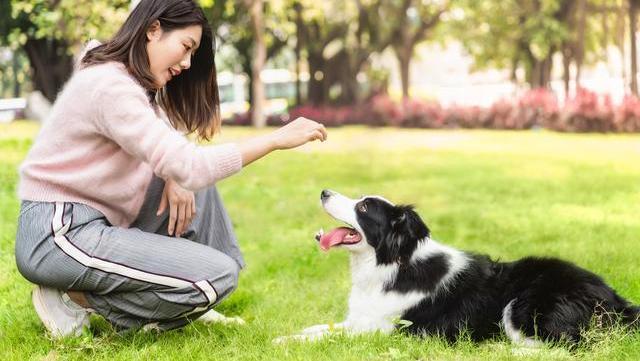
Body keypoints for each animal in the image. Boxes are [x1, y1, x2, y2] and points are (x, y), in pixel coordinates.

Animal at [272, 188, 636, 344]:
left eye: (362, 207)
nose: (324, 191)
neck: (392, 263)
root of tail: (615, 299)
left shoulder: (391, 328)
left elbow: (335, 335)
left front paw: (286, 341)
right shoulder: (363, 317)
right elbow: (327, 326)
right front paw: (299, 332)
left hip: (522, 306)